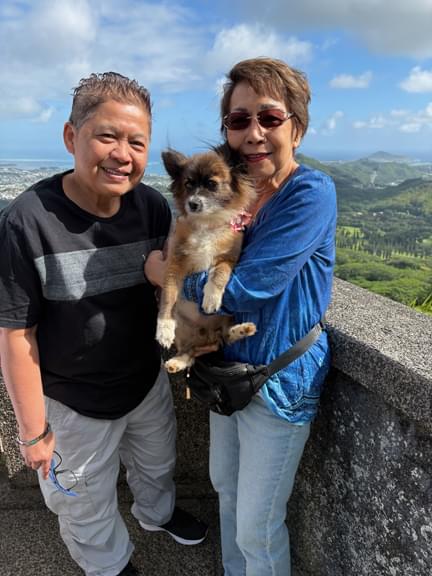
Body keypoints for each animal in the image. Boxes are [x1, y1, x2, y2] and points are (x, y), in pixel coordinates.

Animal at [156, 146, 257, 374]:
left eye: (212, 184)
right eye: (188, 184)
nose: (192, 203)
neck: (206, 224)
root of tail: (207, 337)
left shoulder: (229, 259)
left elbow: (219, 272)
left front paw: (211, 297)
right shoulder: (174, 265)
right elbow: (168, 296)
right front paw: (164, 328)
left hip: (228, 317)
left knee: (225, 337)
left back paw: (242, 329)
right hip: (185, 329)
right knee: (190, 353)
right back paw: (177, 361)